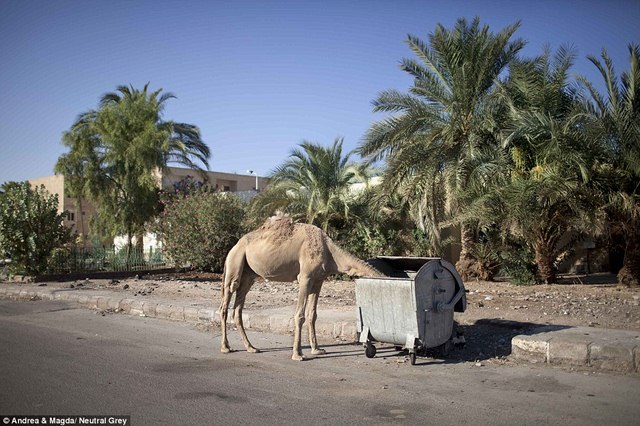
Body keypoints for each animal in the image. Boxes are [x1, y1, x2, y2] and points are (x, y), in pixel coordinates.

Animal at [220, 213, 382, 360]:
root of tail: (234, 247)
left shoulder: (318, 280)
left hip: (248, 275)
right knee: (226, 300)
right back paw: (226, 347)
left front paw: (317, 350)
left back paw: (251, 347)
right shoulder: (305, 277)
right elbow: (300, 315)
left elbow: (312, 315)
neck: (330, 253)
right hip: (235, 263)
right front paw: (298, 354)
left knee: (238, 308)